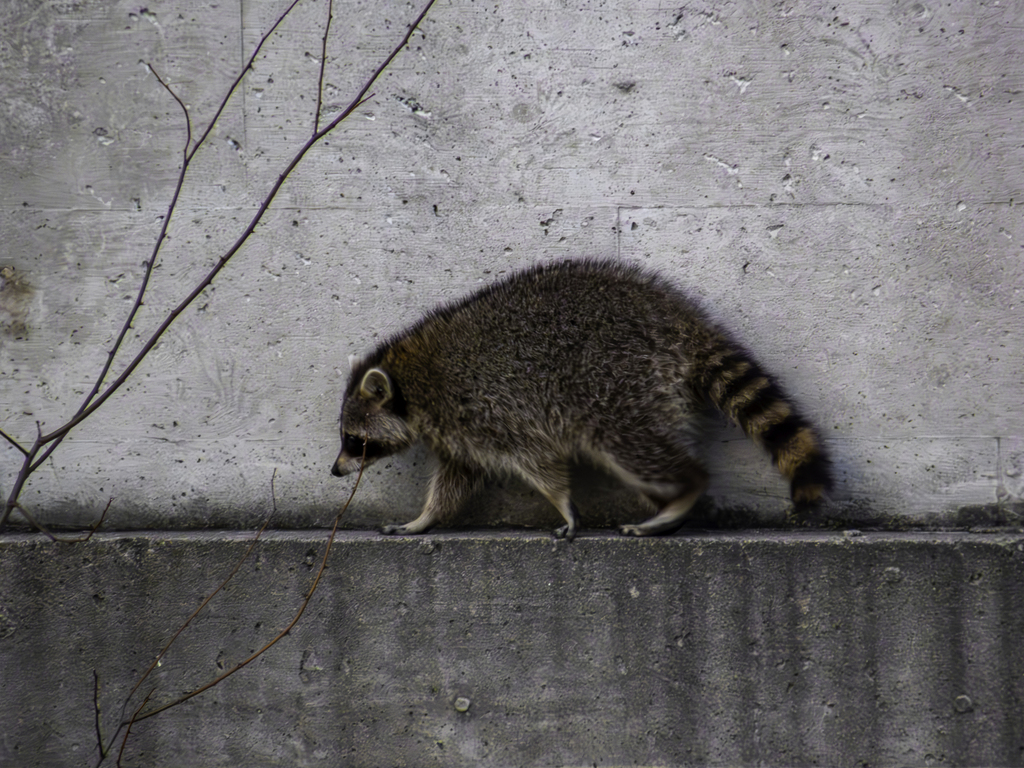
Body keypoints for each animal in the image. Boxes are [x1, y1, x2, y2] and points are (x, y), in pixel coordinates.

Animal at [332, 258, 831, 539]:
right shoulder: (459, 433)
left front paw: (563, 503)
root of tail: (677, 317)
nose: (336, 470)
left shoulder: (488, 411)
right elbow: (457, 477)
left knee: (630, 447)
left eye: (354, 440)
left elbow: (538, 460)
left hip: (617, 380)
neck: (411, 383)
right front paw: (426, 517)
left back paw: (684, 489)